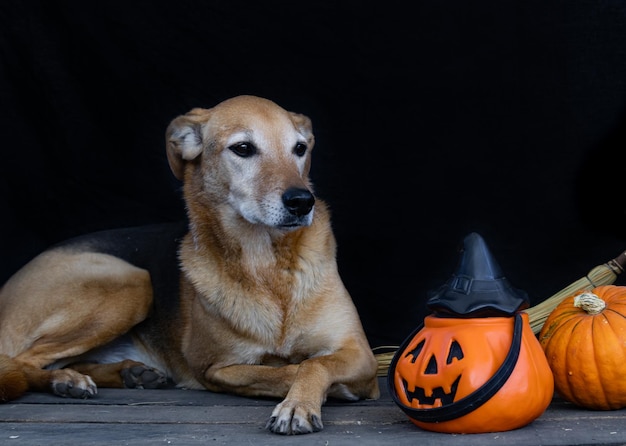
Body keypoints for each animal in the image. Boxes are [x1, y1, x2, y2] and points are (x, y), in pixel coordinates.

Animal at [0, 96, 380, 434]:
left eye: (299, 149)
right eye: (243, 148)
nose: (302, 201)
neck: (267, 267)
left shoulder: (358, 351)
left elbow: (314, 363)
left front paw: (302, 400)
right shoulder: (216, 367)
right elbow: (290, 369)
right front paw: (308, 396)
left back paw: (129, 373)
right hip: (130, 281)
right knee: (21, 361)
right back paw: (66, 380)